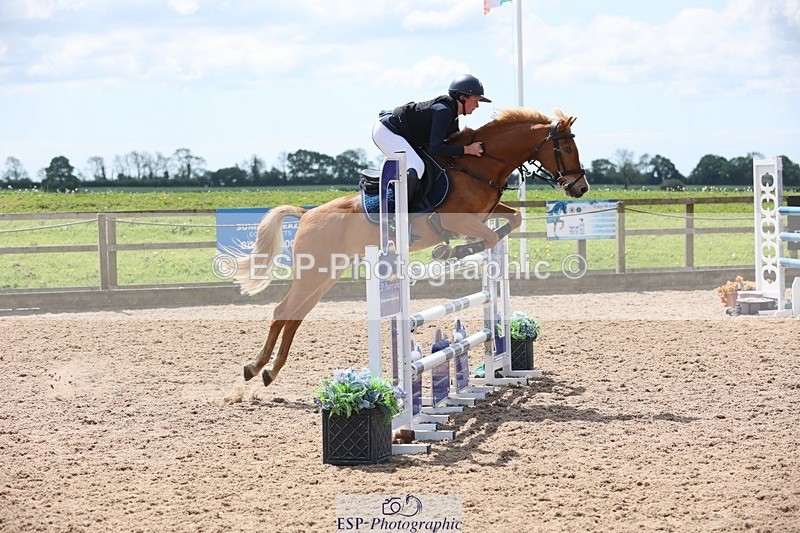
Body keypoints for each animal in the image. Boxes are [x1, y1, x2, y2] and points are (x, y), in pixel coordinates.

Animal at [232, 108, 589, 386]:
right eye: (567, 148)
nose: (581, 187)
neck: (478, 165)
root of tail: (306, 214)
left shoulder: (486, 213)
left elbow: (513, 220)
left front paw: (454, 250)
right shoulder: (460, 221)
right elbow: (488, 238)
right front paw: (451, 252)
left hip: (325, 275)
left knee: (295, 316)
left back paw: (269, 371)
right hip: (314, 274)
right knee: (282, 312)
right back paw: (254, 367)